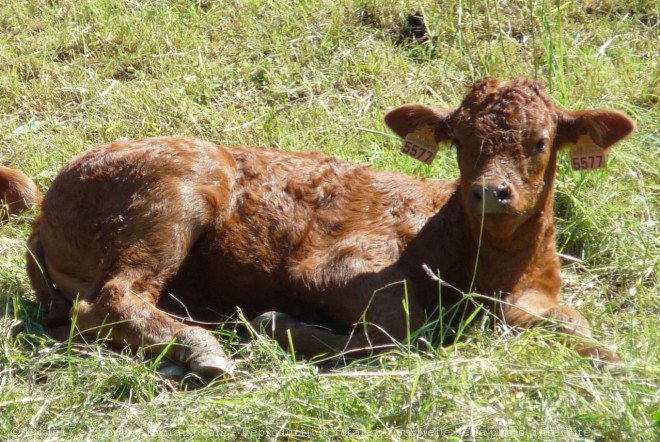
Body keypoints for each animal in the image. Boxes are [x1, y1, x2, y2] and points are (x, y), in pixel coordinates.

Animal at [25, 78, 636, 376]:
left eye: (540, 142)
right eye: (460, 142)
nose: (490, 192)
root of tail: (46, 203)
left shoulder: (537, 293)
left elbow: (576, 325)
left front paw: (612, 363)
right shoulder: (336, 265)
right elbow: (405, 331)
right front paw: (281, 325)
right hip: (174, 192)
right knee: (112, 298)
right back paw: (202, 351)